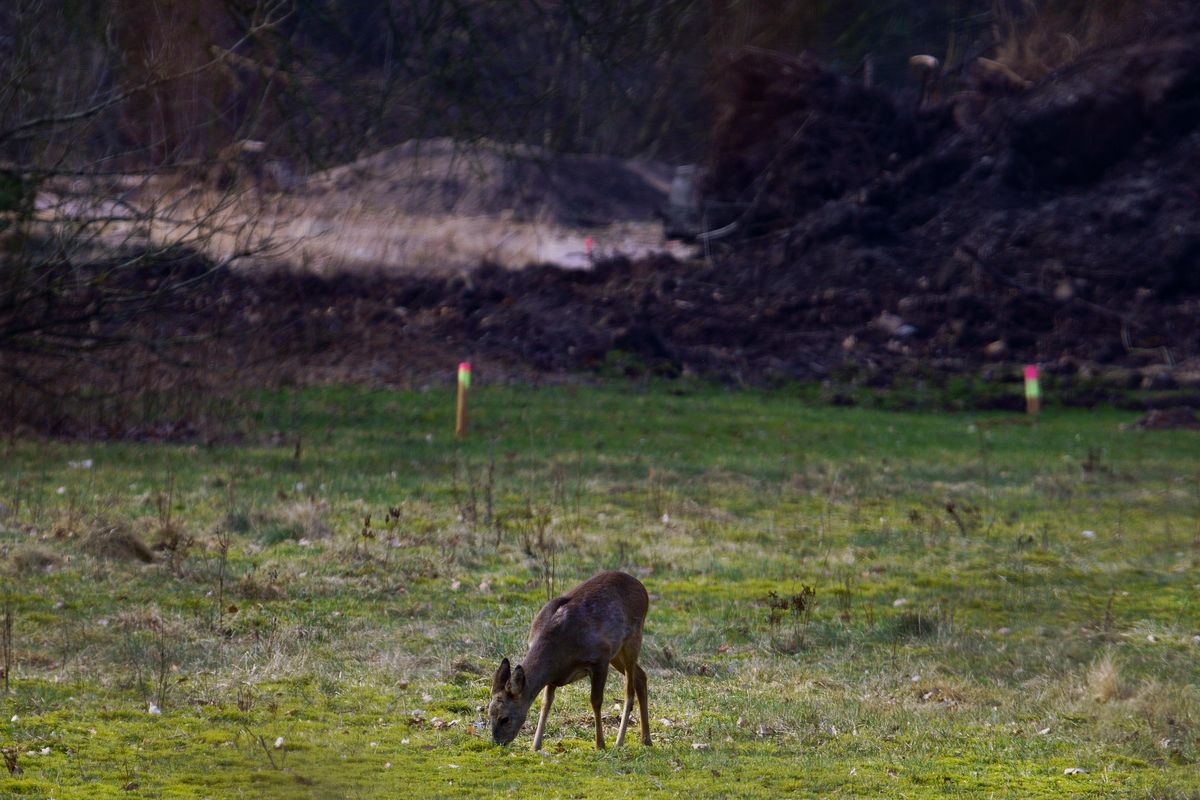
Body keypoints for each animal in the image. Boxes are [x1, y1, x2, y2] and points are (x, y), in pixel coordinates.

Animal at [484, 568, 648, 753]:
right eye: (489, 713)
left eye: (505, 718)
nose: (498, 742)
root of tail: (642, 587)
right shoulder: (553, 676)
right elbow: (546, 703)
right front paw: (535, 745)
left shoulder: (600, 657)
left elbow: (596, 701)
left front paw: (600, 744)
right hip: (617, 653)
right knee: (641, 676)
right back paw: (646, 739)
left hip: (632, 639)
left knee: (629, 691)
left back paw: (620, 742)